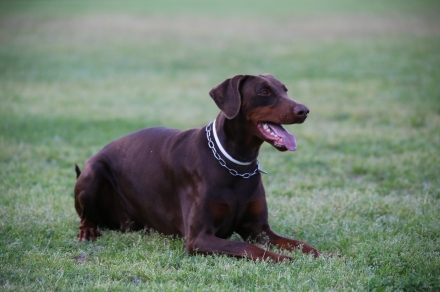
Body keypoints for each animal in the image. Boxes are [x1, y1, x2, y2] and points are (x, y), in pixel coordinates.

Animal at [74, 74, 324, 262]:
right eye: (263, 92)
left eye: (285, 90)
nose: (304, 110)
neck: (235, 164)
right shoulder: (199, 238)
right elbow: (246, 247)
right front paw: (284, 259)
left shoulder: (259, 230)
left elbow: (301, 244)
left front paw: (325, 255)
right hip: (92, 173)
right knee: (86, 216)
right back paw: (88, 231)